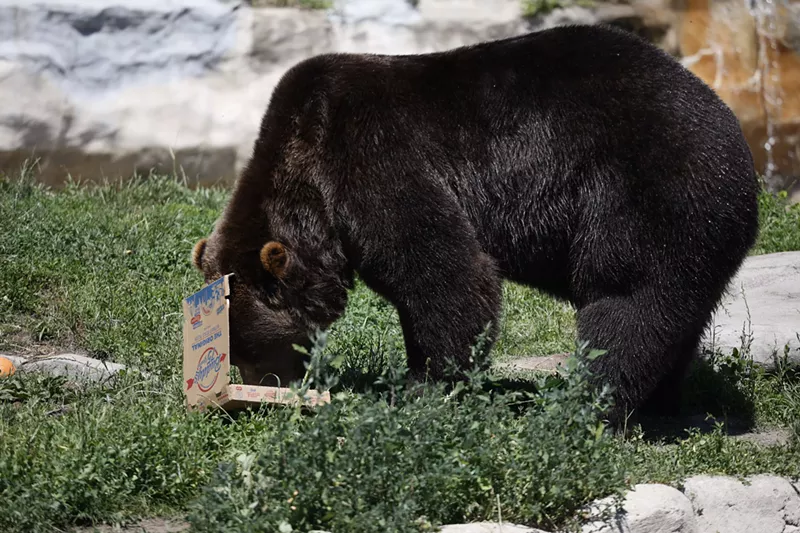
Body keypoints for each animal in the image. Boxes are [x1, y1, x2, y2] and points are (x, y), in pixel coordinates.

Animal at [191, 23, 760, 424]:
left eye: (251, 348)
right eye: (237, 352)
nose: (259, 395)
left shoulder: (371, 157)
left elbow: (446, 273)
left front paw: (426, 388)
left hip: (647, 191)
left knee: (627, 300)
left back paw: (586, 403)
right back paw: (662, 403)